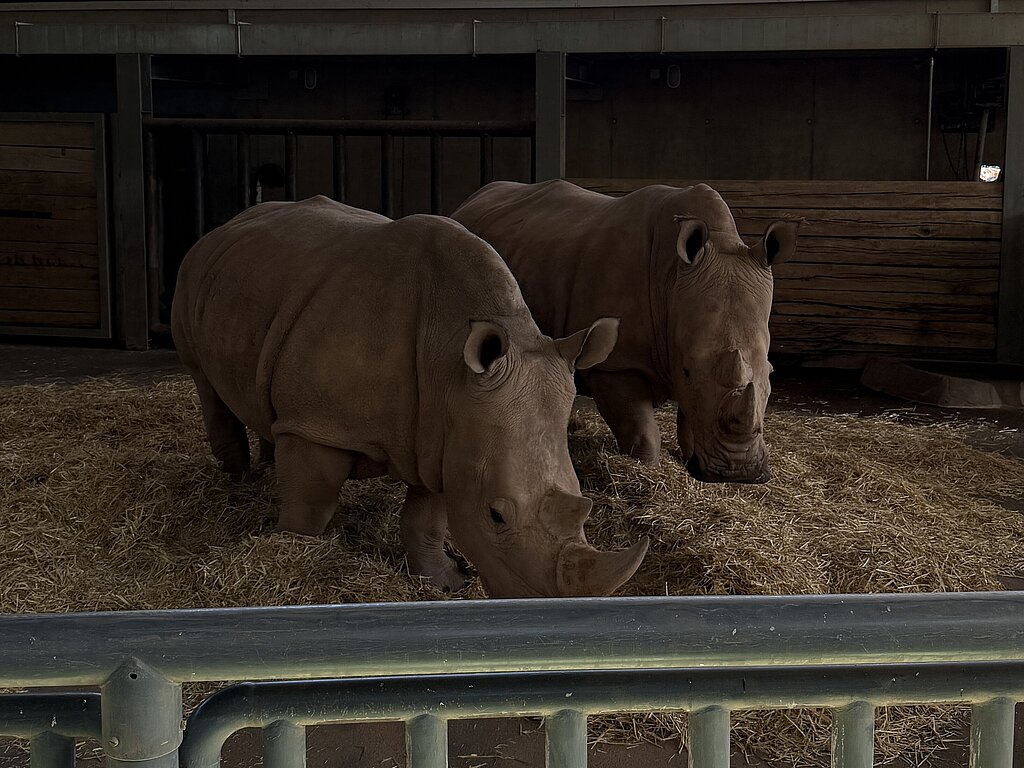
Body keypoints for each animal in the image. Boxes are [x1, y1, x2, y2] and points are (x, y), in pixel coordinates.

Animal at [171, 196, 648, 598]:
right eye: (496, 515)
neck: (450, 367)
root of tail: (229, 224)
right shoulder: (318, 426)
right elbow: (309, 508)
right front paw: (292, 555)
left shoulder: (449, 435)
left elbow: (427, 519)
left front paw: (445, 582)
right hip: (192, 273)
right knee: (208, 386)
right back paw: (239, 488)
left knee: (267, 409)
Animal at [452, 180, 798, 483]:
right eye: (687, 370)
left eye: (770, 372)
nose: (740, 474)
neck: (672, 281)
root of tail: (468, 201)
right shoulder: (615, 365)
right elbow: (642, 431)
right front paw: (647, 468)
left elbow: (692, 415)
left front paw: (691, 460)